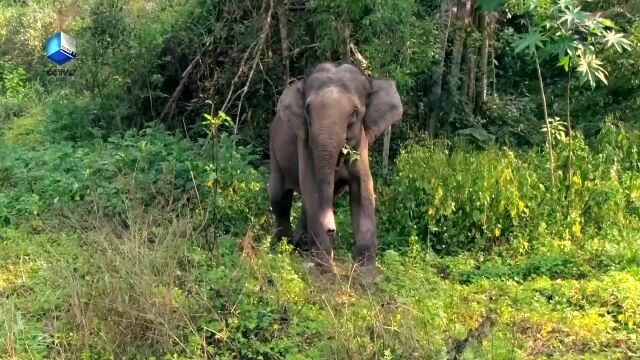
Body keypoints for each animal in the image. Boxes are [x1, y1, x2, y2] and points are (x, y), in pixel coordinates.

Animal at [268, 63, 402, 272]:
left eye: (354, 112)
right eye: (307, 110)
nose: (331, 229)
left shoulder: (362, 145)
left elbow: (363, 190)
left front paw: (366, 271)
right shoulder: (305, 142)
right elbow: (312, 188)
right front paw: (325, 270)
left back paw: (300, 245)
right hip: (274, 152)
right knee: (279, 197)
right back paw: (282, 248)